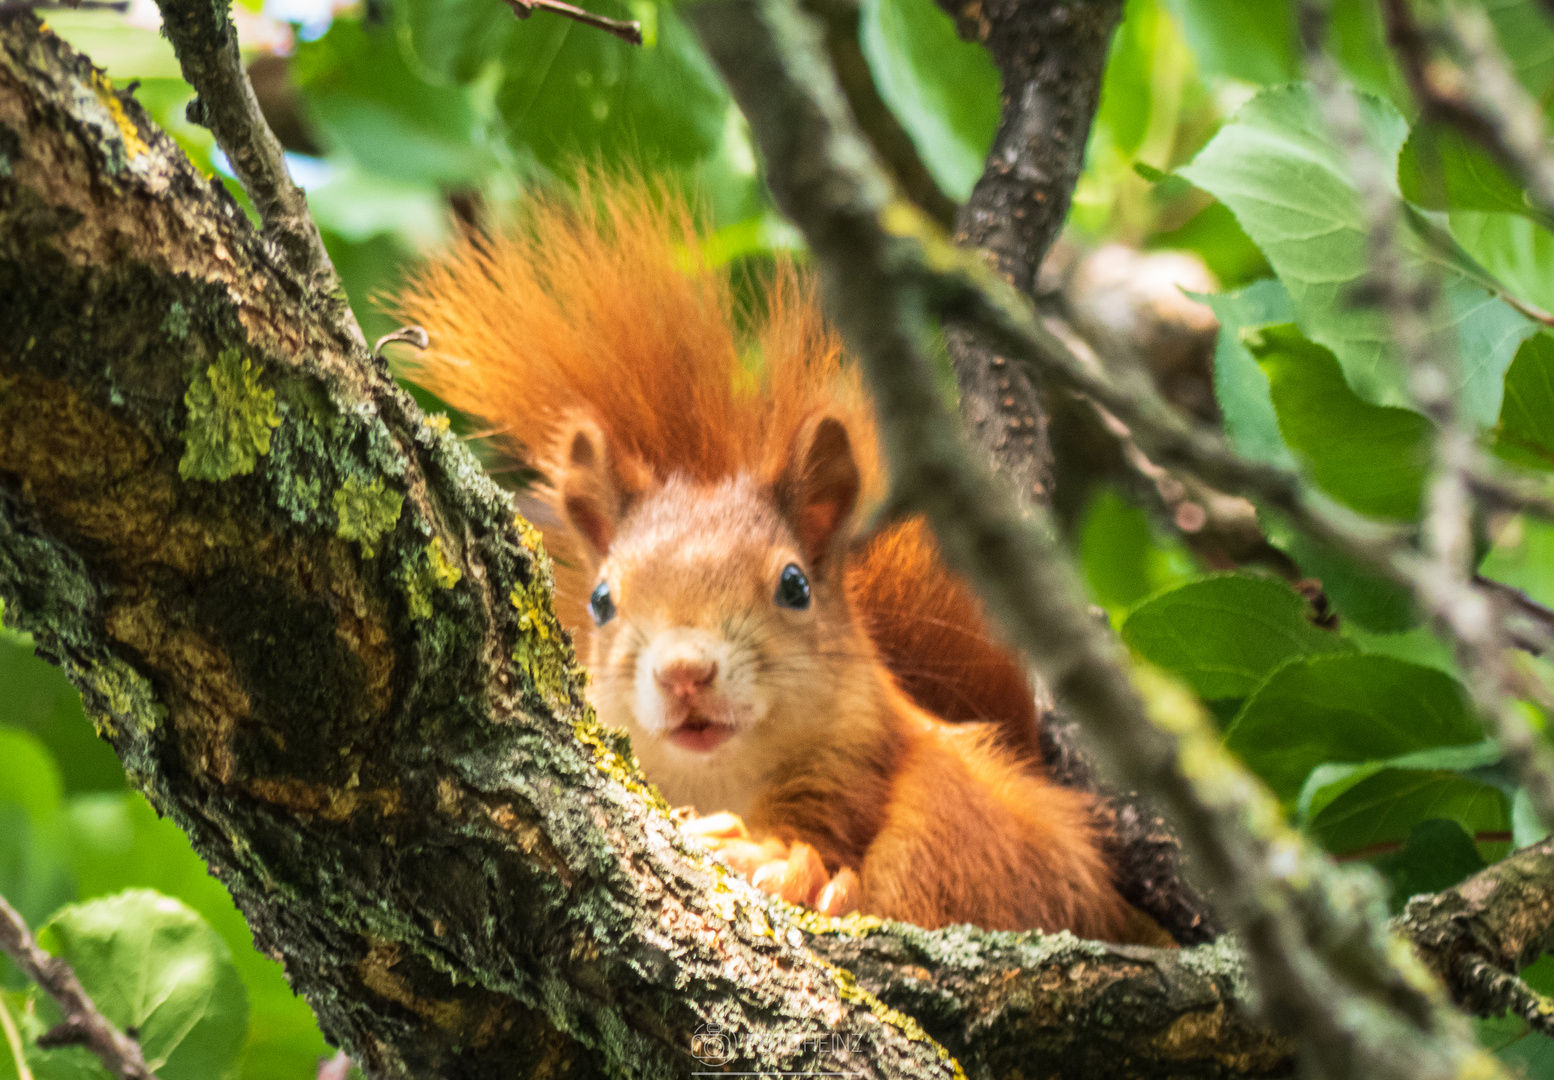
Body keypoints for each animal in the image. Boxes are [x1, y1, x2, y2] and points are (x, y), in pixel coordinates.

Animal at [397, 173, 1156, 944]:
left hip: (971, 817)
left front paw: (782, 863)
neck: (719, 780)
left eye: (795, 585)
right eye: (601, 602)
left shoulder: (860, 761)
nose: (684, 672)